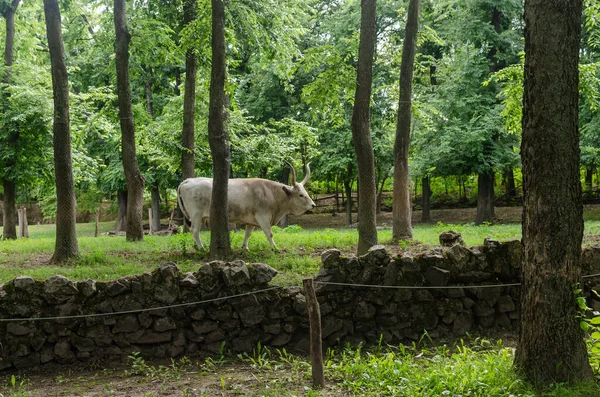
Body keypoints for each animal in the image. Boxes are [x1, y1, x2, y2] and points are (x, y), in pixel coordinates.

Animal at [176, 163, 316, 249]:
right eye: (301, 195)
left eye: (305, 192)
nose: (313, 205)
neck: (271, 193)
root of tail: (188, 180)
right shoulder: (263, 217)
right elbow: (269, 233)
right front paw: (275, 247)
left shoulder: (252, 220)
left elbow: (248, 233)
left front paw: (245, 247)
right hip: (196, 214)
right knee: (195, 230)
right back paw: (201, 248)